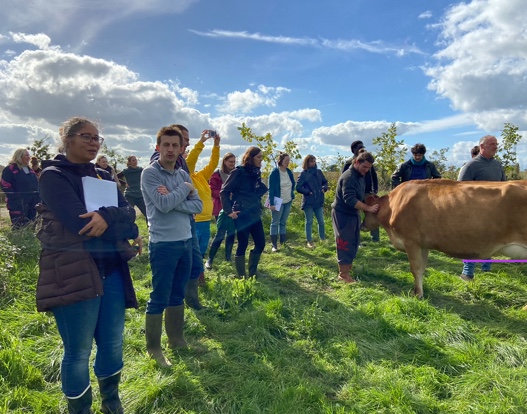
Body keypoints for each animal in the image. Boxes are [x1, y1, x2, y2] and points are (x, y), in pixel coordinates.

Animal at [360, 179, 527, 298]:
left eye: (366, 211)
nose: (362, 226)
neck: (394, 205)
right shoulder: (423, 244)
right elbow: (422, 268)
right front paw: (419, 291)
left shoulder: (411, 242)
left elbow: (415, 268)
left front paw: (417, 294)